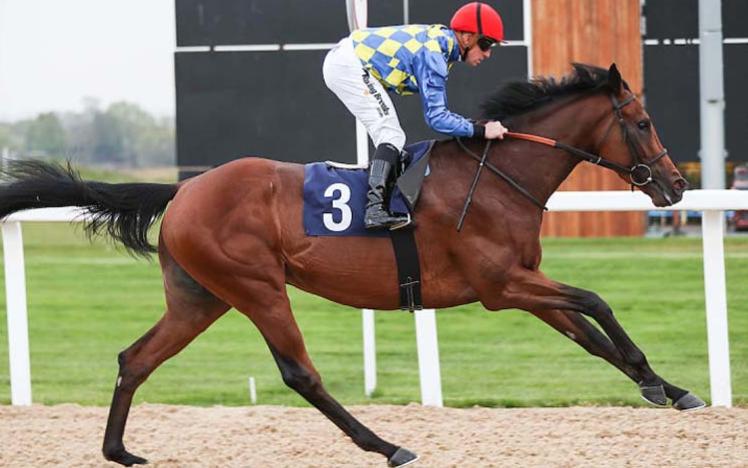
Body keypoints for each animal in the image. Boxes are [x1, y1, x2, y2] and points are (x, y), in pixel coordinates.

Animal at [0, 63, 700, 468]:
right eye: (642, 121)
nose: (676, 186)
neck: (499, 176)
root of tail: (184, 190)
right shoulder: (502, 286)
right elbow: (597, 302)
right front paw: (658, 380)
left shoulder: (524, 288)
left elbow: (591, 336)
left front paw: (667, 387)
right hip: (256, 286)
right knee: (299, 374)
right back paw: (388, 446)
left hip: (201, 297)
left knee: (136, 358)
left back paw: (119, 451)